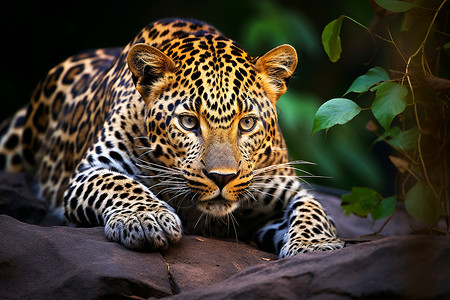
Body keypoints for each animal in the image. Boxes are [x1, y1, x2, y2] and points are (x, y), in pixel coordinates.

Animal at [0, 18, 342, 258]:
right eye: (188, 122)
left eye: (247, 123)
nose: (222, 178)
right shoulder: (91, 171)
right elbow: (119, 183)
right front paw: (147, 218)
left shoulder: (285, 189)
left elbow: (314, 209)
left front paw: (316, 246)